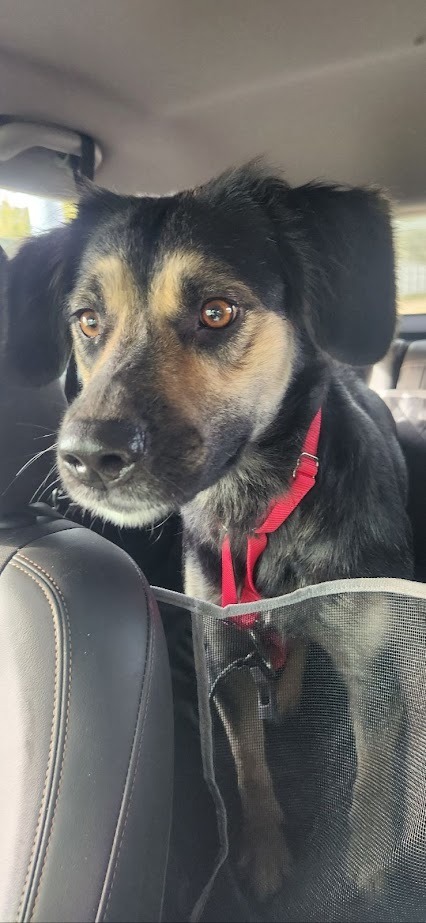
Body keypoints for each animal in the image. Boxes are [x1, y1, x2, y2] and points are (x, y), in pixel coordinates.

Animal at [4, 161, 412, 904]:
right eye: (88, 320)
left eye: (217, 311)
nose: (86, 457)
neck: (256, 508)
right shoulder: (222, 646)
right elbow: (247, 766)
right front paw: (262, 853)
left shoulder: (376, 669)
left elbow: (370, 789)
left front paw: (367, 877)